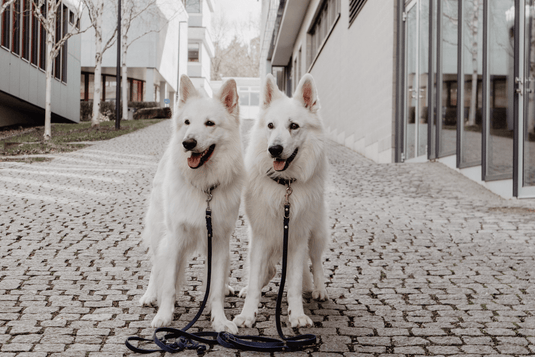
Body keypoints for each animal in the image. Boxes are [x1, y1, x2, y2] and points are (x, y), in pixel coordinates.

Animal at [140, 73, 245, 332]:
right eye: (187, 122)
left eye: (210, 123)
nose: (187, 143)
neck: (204, 186)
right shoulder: (174, 237)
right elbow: (168, 284)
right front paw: (164, 316)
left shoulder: (219, 240)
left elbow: (214, 287)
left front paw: (220, 320)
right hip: (159, 232)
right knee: (156, 264)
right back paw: (150, 295)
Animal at [236, 73, 330, 328]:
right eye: (270, 126)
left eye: (294, 126)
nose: (274, 149)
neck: (284, 184)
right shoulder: (260, 236)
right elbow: (255, 279)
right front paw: (247, 314)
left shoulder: (297, 238)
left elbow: (295, 284)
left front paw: (297, 315)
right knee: (265, 271)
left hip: (316, 233)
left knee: (316, 261)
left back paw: (319, 290)